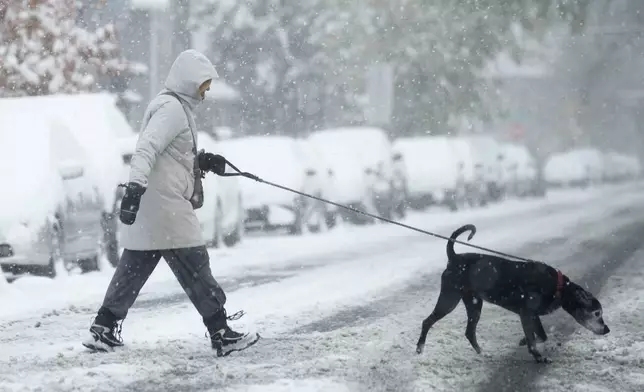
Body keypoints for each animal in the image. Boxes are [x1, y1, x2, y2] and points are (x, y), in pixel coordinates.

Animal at [418, 222, 608, 362]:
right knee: (427, 322)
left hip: (474, 304)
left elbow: (541, 335)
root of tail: (454, 257)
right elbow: (535, 338)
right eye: (597, 313)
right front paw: (538, 357)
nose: (607, 330)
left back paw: (483, 354)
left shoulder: (532, 315)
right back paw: (419, 349)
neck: (559, 287)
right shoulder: (526, 313)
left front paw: (524, 341)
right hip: (449, 299)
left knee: (469, 332)